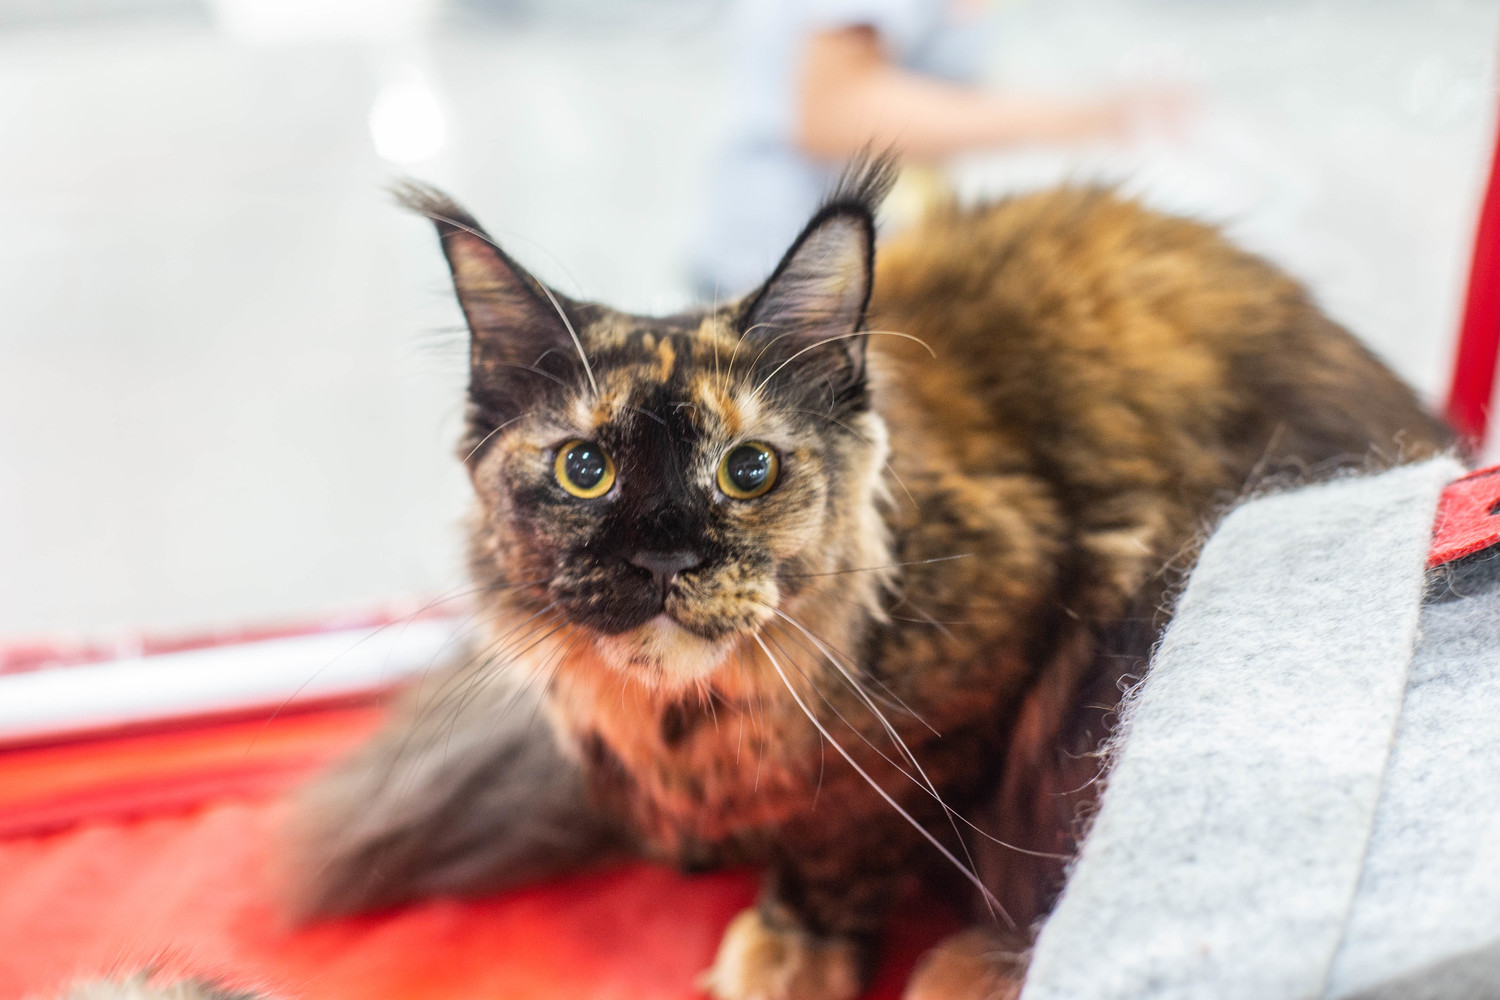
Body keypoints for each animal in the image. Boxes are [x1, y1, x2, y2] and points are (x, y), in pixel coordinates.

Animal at [57, 157, 1453, 1000]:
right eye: (583, 470)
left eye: (747, 467)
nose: (669, 553)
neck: (690, 723)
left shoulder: (991, 677)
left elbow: (852, 830)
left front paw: (801, 939)